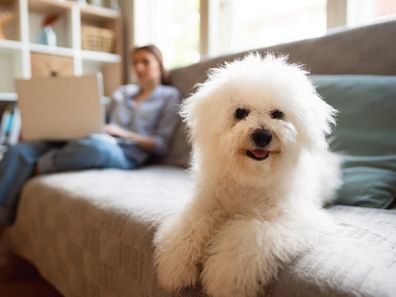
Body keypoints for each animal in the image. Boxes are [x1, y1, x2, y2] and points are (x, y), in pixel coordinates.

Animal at [153, 53, 342, 296]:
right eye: (240, 112)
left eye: (278, 114)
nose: (262, 136)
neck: (249, 176)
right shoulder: (206, 205)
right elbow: (188, 229)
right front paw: (175, 268)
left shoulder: (289, 218)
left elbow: (248, 239)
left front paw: (223, 281)